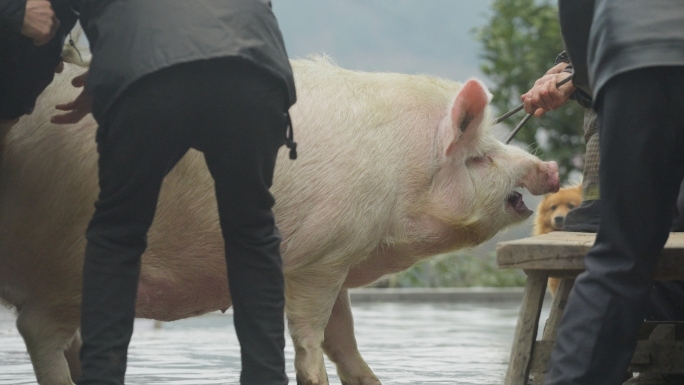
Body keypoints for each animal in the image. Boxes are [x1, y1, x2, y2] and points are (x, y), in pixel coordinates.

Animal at [0, 57, 556, 384]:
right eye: (480, 157)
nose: (548, 168)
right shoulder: (318, 258)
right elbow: (311, 340)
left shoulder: (339, 261)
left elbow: (345, 342)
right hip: (68, 263)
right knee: (38, 330)